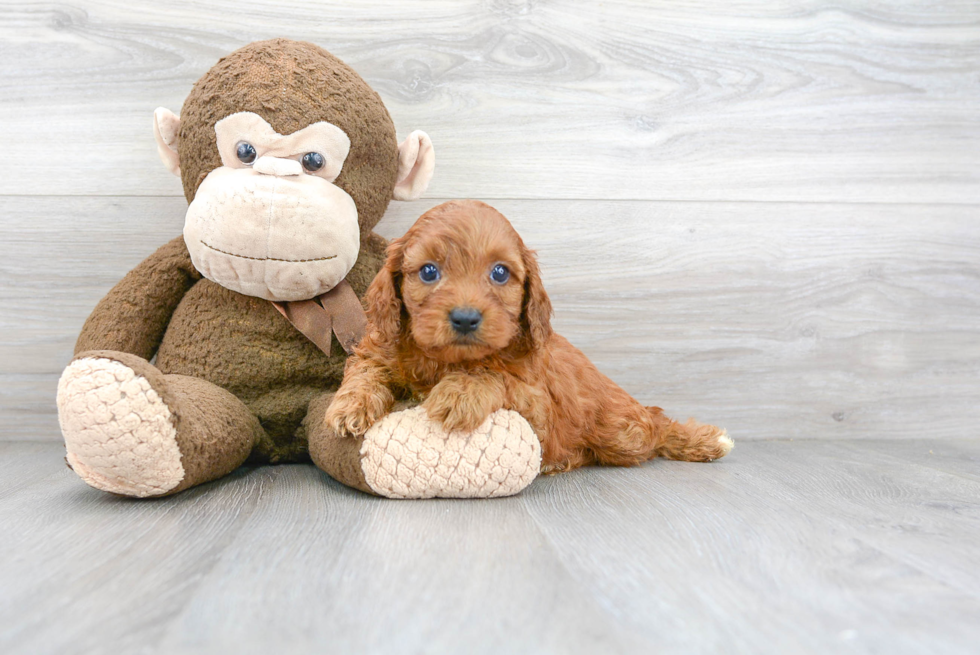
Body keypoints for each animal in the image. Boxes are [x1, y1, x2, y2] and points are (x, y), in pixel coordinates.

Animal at [326, 199, 732, 472]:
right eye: (428, 271)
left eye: (500, 273)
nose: (465, 318)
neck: (448, 360)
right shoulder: (380, 347)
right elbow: (365, 371)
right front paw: (349, 406)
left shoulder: (537, 404)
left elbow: (495, 374)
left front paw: (460, 392)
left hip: (622, 432)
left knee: (655, 426)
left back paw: (706, 441)